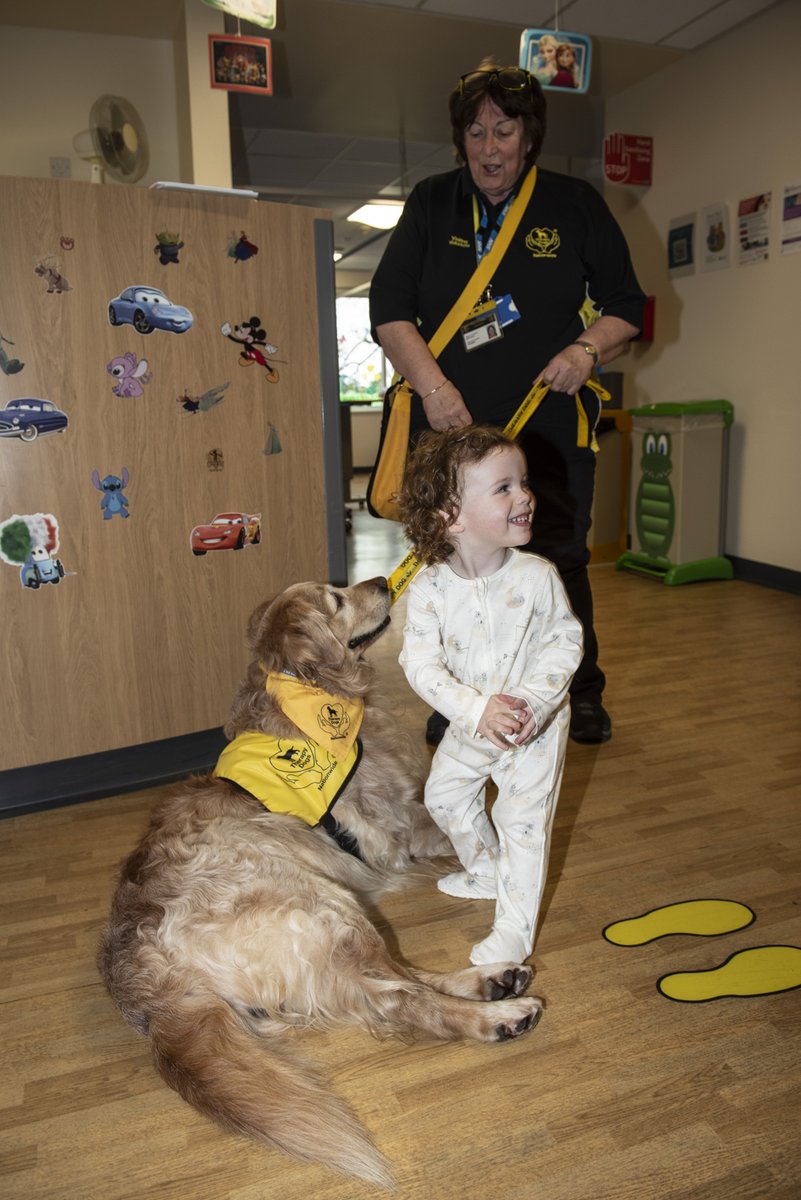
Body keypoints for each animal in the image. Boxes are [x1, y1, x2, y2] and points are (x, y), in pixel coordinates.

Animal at [97, 576, 541, 1185]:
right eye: (335, 599)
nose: (379, 581)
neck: (311, 694)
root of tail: (139, 972)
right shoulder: (400, 827)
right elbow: (479, 840)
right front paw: (504, 868)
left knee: (402, 975)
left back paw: (495, 980)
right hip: (319, 903)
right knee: (398, 996)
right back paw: (499, 1015)